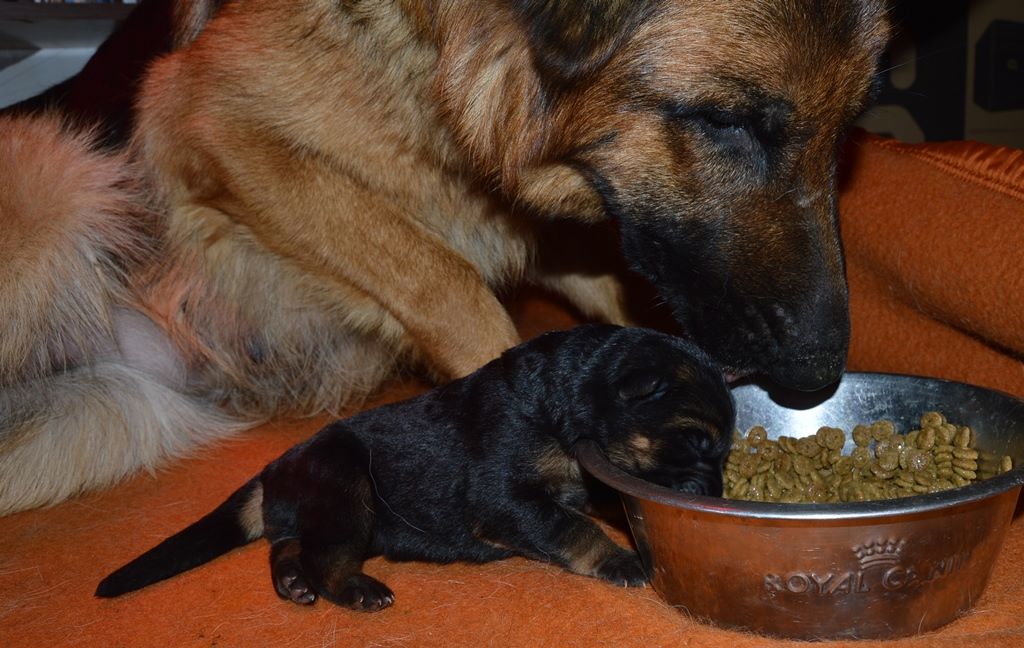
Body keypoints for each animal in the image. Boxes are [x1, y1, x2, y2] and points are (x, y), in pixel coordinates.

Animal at [0, 1, 888, 515]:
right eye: (723, 121)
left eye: (848, 129)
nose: (817, 376)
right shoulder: (210, 119)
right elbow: (447, 280)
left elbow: (600, 278)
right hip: (56, 183)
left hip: (111, 413)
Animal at [96, 325, 733, 610]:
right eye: (693, 440)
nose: (716, 493)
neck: (563, 398)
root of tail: (275, 468)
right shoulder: (504, 497)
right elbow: (571, 526)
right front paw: (621, 560)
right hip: (347, 490)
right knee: (325, 556)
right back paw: (355, 589)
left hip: (317, 508)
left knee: (285, 545)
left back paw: (294, 583)